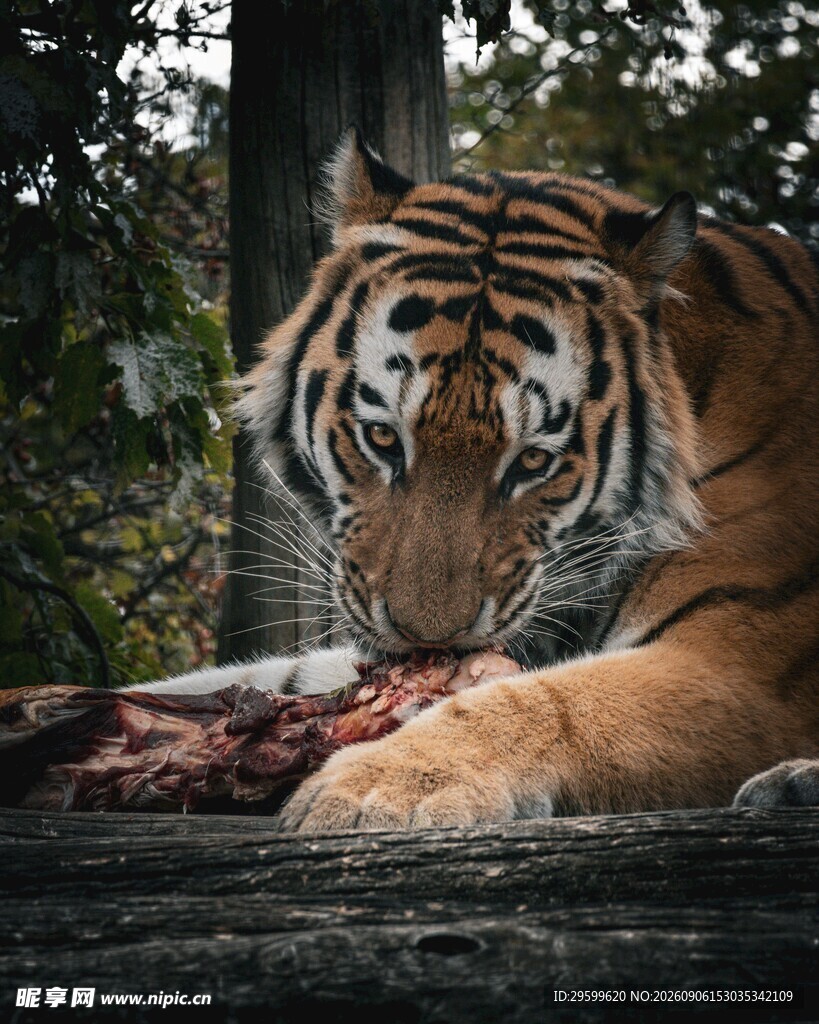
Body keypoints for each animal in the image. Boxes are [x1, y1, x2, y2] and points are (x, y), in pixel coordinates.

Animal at [134, 128, 819, 830]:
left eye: (533, 462)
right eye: (382, 438)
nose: (428, 638)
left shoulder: (738, 663)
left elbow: (552, 703)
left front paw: (378, 789)